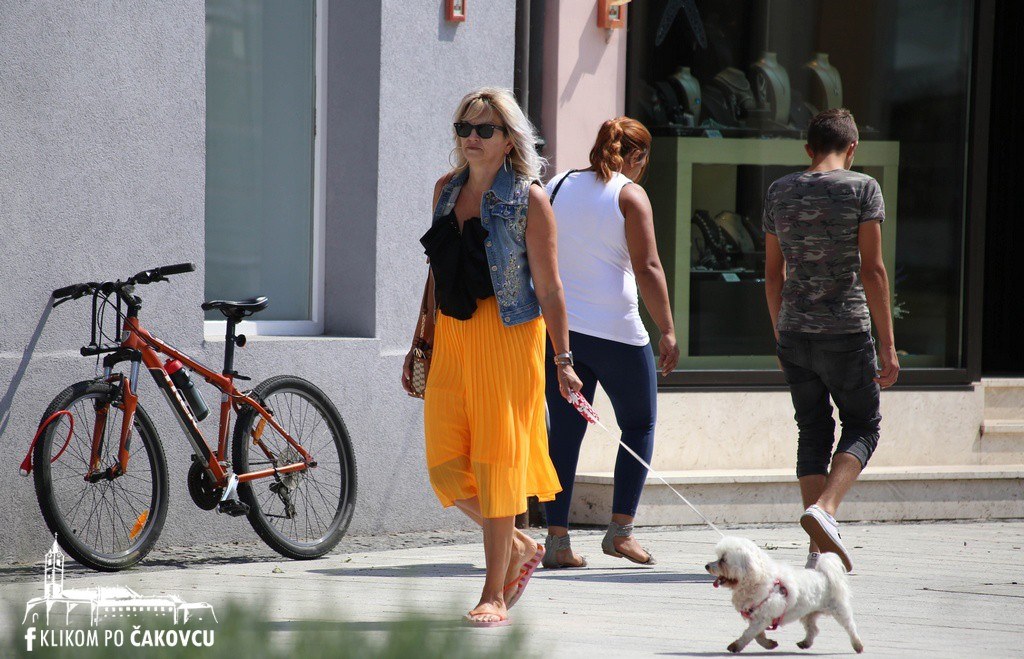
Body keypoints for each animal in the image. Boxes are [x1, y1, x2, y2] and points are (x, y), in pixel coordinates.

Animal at [705, 536, 863, 654]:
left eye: (723, 560)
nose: (707, 566)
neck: (756, 580)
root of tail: (824, 574)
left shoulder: (762, 618)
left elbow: (749, 634)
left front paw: (736, 645)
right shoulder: (756, 618)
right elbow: (758, 636)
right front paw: (769, 644)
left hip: (839, 609)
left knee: (850, 627)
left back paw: (857, 645)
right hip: (808, 613)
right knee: (813, 629)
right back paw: (805, 643)